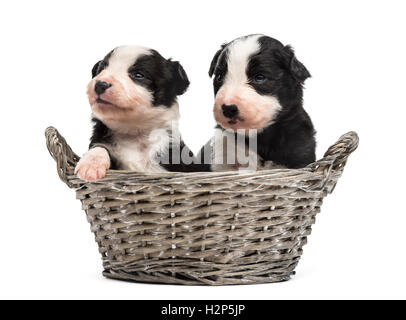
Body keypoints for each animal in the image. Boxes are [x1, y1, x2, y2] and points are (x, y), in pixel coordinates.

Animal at [75, 45, 198, 181]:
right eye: (101, 69)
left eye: (138, 75)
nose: (100, 84)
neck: (134, 132)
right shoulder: (101, 139)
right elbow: (99, 147)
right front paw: (90, 166)